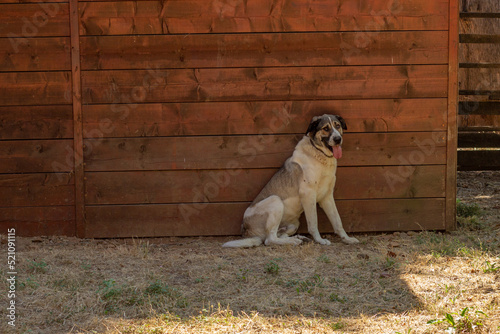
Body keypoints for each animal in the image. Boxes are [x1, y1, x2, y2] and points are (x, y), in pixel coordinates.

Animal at [223, 115, 360, 248]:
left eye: (337, 126)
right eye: (326, 128)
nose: (338, 139)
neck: (319, 154)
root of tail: (246, 230)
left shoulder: (327, 197)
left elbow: (337, 221)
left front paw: (347, 239)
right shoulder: (308, 194)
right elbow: (313, 223)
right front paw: (320, 240)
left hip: (294, 224)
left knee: (278, 235)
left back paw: (298, 238)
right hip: (275, 201)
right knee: (270, 239)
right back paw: (293, 241)